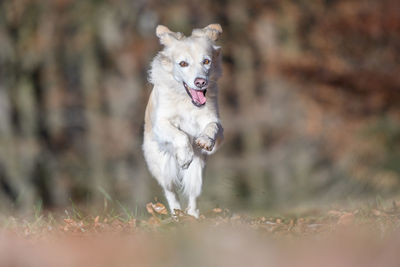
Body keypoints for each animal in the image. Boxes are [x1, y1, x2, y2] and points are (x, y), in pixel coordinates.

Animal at [143, 24, 225, 219]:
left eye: (206, 61)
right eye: (183, 64)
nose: (200, 82)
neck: (187, 101)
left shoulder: (215, 120)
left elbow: (212, 127)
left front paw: (205, 140)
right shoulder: (161, 123)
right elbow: (180, 135)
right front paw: (185, 156)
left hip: (198, 170)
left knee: (193, 194)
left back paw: (193, 216)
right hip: (163, 168)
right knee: (170, 192)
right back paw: (175, 215)